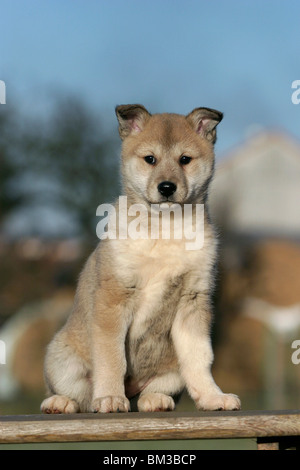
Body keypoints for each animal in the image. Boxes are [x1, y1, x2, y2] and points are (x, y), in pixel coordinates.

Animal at [40, 104, 241, 414]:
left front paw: (212, 397)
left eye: (185, 159)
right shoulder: (114, 298)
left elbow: (199, 359)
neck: (164, 230)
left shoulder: (193, 300)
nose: (167, 187)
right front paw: (110, 398)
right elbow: (112, 358)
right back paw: (61, 402)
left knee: (156, 389)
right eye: (150, 159)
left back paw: (155, 400)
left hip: (171, 370)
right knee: (78, 396)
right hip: (61, 360)